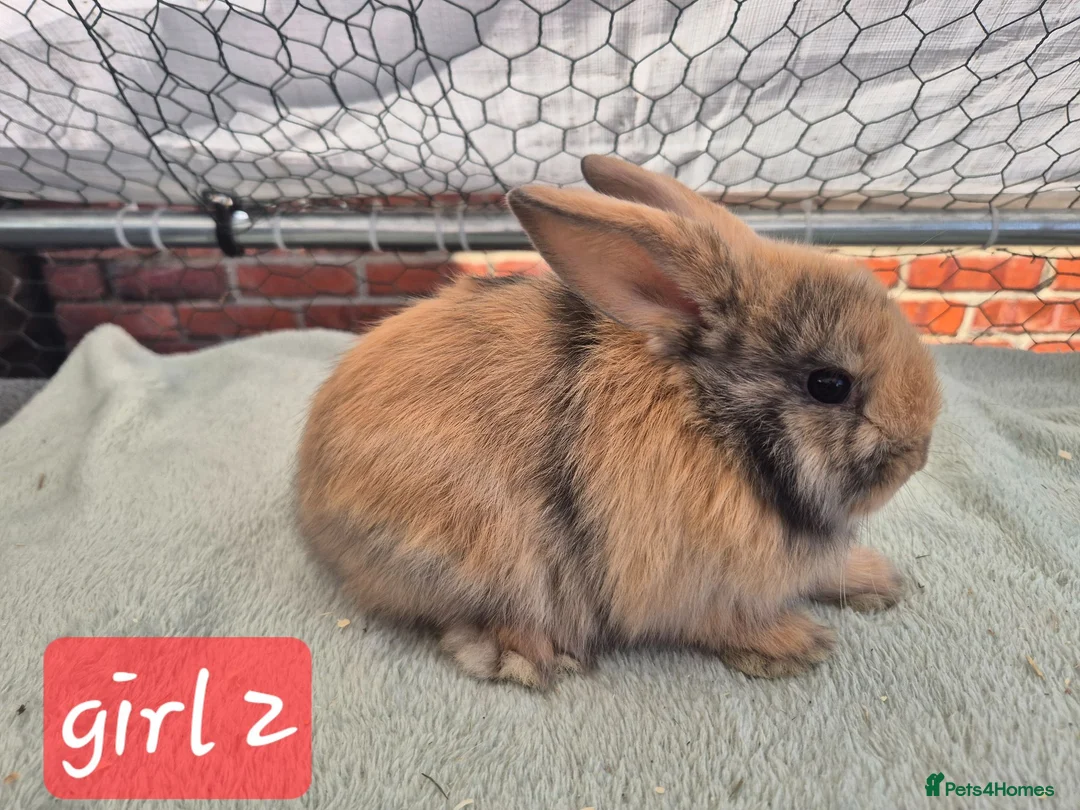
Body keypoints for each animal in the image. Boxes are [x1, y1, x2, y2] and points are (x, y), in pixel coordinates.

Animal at [296, 155, 940, 687]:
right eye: (829, 385)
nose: (917, 455)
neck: (715, 424)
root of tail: (312, 497)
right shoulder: (683, 585)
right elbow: (722, 621)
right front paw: (797, 643)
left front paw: (879, 582)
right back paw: (528, 656)